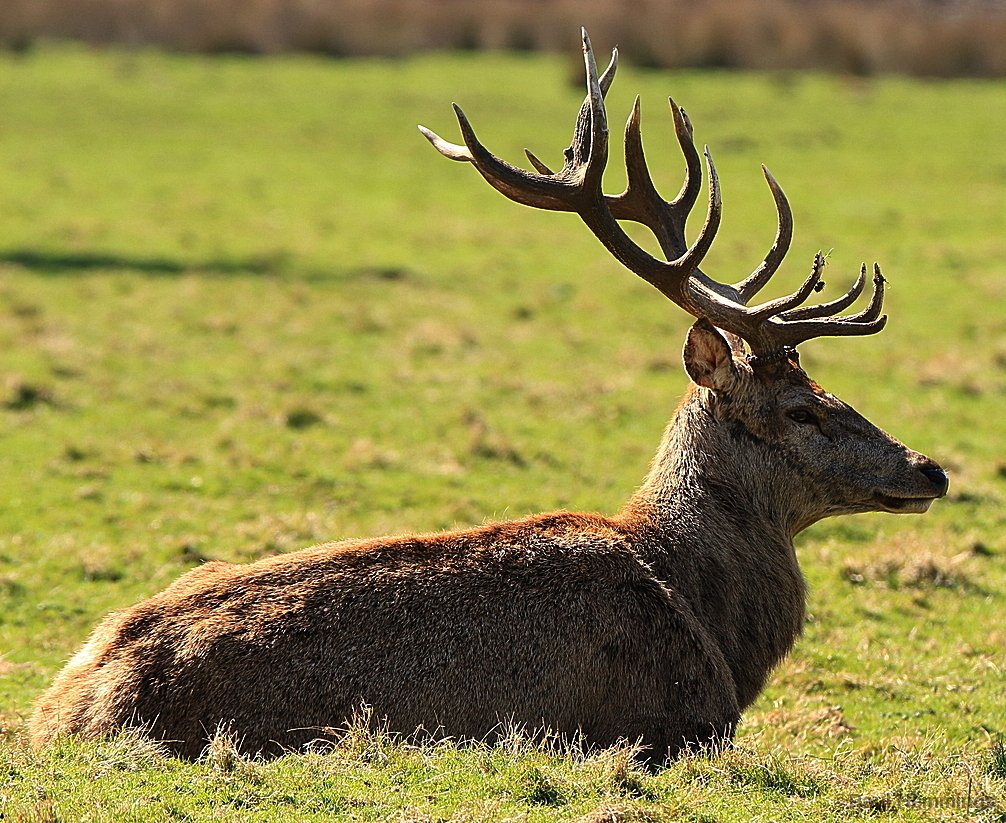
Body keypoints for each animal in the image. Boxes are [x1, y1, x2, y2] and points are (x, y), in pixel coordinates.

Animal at [29, 30, 948, 765]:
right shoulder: (674, 721)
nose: (929, 467)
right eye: (802, 409)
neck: (713, 618)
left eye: (830, 389)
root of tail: (65, 711)